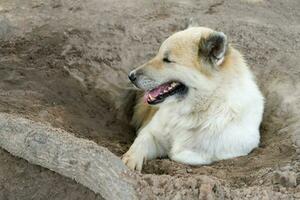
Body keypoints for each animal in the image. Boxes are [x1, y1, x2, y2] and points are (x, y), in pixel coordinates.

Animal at [121, 25, 262, 171]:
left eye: (167, 60)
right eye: (158, 54)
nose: (131, 76)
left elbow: (181, 154)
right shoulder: (151, 133)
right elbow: (139, 143)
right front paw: (130, 161)